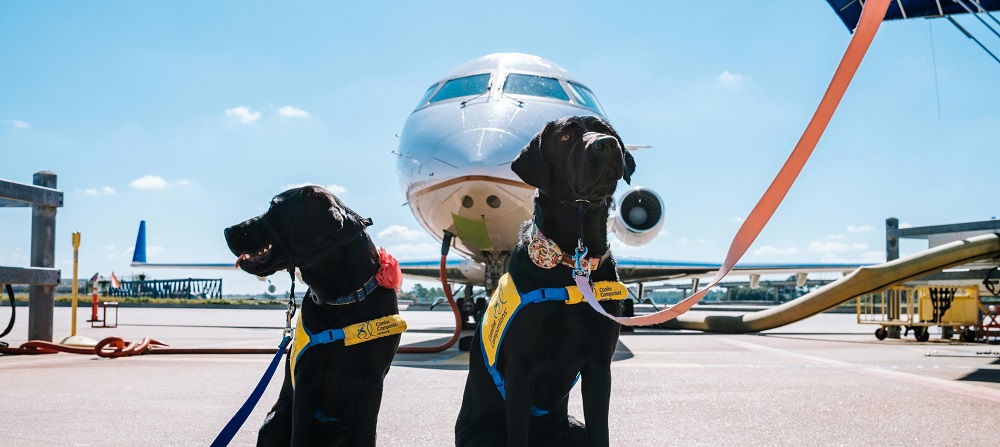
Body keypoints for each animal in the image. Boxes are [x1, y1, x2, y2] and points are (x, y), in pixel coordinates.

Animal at [226, 186, 406, 447]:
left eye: (274, 206)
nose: (227, 230)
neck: (342, 299)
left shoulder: (373, 379)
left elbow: (366, 434)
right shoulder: (307, 379)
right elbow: (299, 434)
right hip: (276, 418)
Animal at [458, 116, 636, 447]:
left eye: (607, 130)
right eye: (565, 136)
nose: (606, 144)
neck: (574, 259)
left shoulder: (599, 366)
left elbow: (601, 432)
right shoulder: (520, 371)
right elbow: (518, 433)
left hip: (573, 427)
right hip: (483, 437)